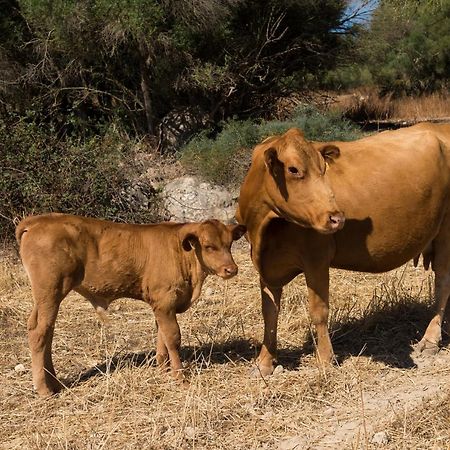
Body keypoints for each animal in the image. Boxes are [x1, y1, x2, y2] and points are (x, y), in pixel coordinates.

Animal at [16, 214, 246, 398]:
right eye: (209, 246)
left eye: (229, 244)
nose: (231, 269)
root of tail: (38, 220)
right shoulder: (165, 300)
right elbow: (173, 337)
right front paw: (180, 377)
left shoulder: (162, 305)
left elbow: (162, 335)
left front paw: (163, 369)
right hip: (50, 291)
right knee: (39, 332)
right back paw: (44, 390)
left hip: (46, 298)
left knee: (44, 330)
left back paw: (54, 382)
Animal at [236, 123, 450, 376]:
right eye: (293, 169)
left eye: (323, 169)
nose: (337, 218)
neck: (264, 227)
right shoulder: (266, 264)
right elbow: (269, 312)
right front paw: (264, 363)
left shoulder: (316, 258)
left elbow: (319, 311)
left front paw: (325, 360)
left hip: (446, 232)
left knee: (443, 282)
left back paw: (430, 340)